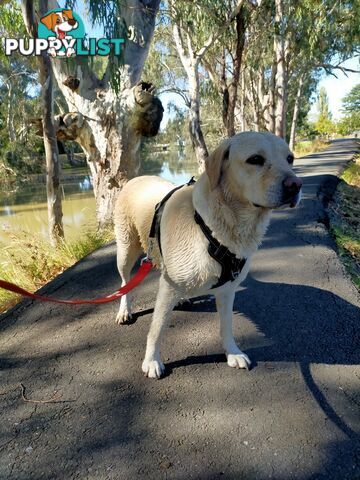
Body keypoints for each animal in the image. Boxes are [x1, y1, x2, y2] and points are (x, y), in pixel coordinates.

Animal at [114, 131, 300, 378]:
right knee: (125, 283)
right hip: (126, 251)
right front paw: (152, 360)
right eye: (255, 159)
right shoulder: (167, 290)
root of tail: (135, 178)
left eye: (290, 159)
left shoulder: (227, 290)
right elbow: (157, 329)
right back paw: (124, 310)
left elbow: (226, 326)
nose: (296, 185)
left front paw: (232, 352)